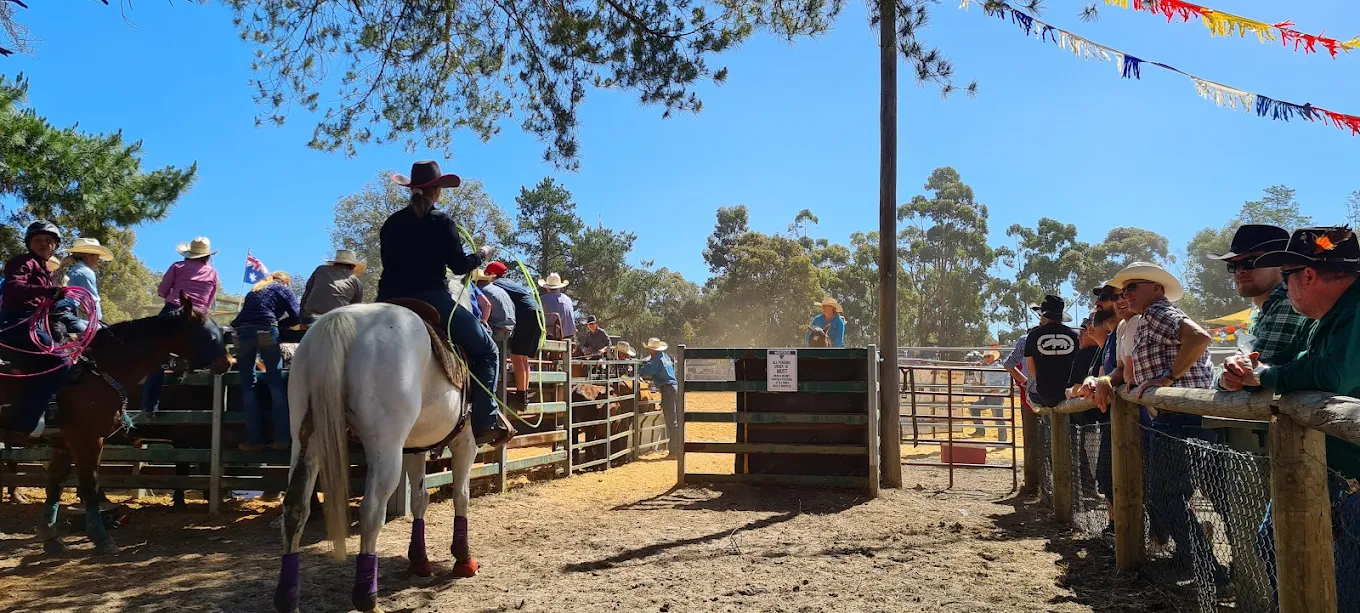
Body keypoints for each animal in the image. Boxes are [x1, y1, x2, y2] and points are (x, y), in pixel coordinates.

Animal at [0, 291, 230, 554]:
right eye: (211, 334)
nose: (228, 361)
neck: (98, 369)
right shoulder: (87, 440)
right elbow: (89, 484)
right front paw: (101, 537)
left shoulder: (62, 443)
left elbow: (55, 485)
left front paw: (50, 537)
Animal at [273, 298, 480, 613]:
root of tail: (337, 322)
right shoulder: (465, 444)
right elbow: (461, 496)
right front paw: (463, 559)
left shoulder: (414, 449)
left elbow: (420, 499)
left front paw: (419, 561)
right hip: (385, 448)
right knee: (371, 512)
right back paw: (367, 599)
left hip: (307, 439)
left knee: (295, 508)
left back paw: (288, 600)